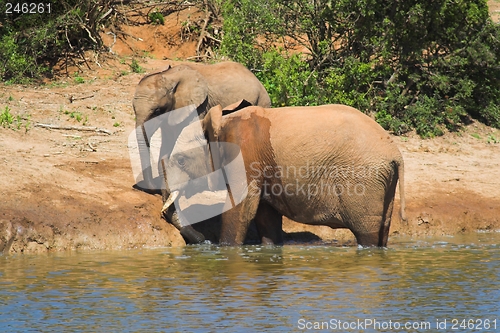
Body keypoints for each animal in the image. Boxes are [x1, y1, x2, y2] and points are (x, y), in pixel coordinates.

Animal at [130, 62, 270, 243]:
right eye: (133, 109)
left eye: (157, 111)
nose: (204, 239)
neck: (170, 76)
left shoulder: (197, 108)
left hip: (263, 102)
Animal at [164, 101, 406, 246]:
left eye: (181, 160)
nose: (204, 240)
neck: (219, 121)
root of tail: (395, 152)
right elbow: (265, 215)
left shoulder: (244, 154)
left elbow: (239, 209)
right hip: (383, 181)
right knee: (383, 230)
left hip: (364, 180)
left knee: (367, 233)